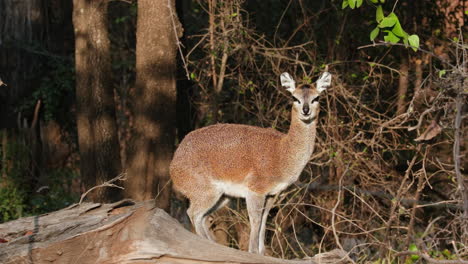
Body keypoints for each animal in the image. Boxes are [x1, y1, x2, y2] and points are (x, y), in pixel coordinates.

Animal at [170, 71, 330, 255]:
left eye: (317, 97)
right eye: (294, 97)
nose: (305, 110)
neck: (281, 154)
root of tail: (173, 165)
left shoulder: (273, 193)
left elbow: (264, 219)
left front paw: (262, 252)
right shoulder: (255, 189)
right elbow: (255, 219)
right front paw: (253, 251)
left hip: (223, 197)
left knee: (203, 217)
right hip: (206, 190)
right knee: (193, 213)